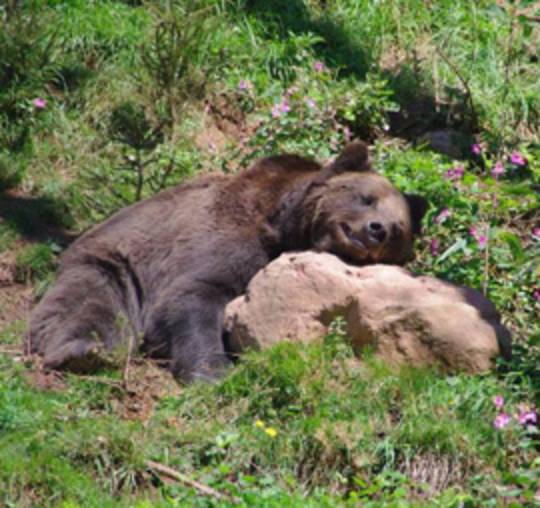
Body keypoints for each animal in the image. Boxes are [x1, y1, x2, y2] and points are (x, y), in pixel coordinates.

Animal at [28, 142, 426, 380]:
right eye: (366, 198)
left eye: (399, 228)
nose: (377, 230)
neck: (283, 226)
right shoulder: (224, 236)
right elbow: (194, 294)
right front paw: (214, 371)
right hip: (113, 264)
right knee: (90, 306)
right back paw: (81, 351)